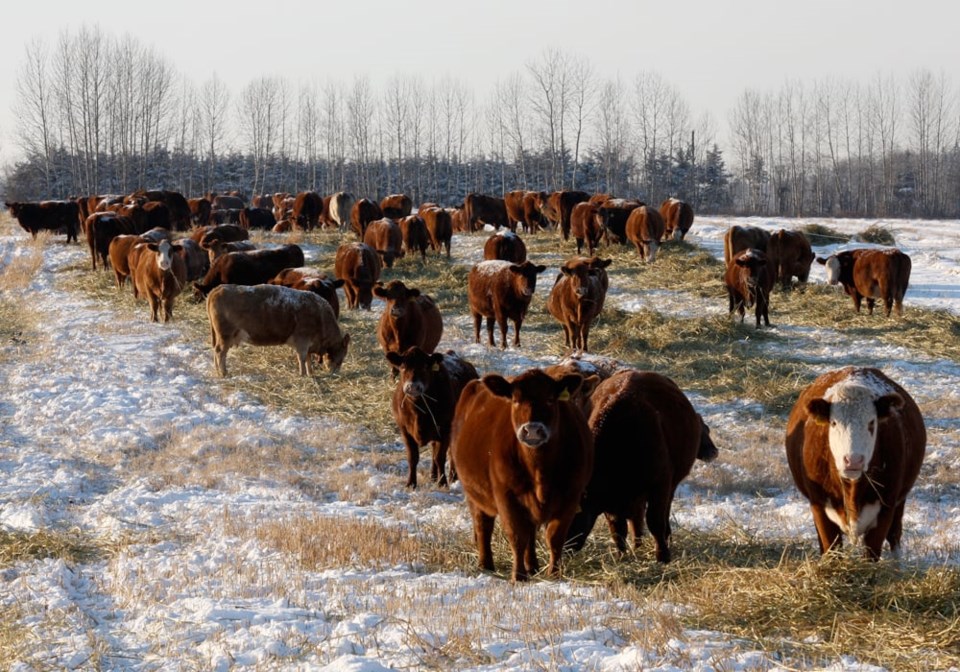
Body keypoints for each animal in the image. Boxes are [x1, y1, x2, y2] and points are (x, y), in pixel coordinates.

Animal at [208, 284, 350, 378]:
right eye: (341, 358)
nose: (335, 373)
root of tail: (218, 289)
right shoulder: (302, 340)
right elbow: (302, 358)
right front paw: (303, 374)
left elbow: (308, 359)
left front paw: (310, 373)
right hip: (225, 335)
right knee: (220, 352)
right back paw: (223, 372)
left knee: (216, 350)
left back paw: (218, 371)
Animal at [386, 346, 480, 488]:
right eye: (403, 366)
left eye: (425, 367)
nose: (412, 386)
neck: (418, 412)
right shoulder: (405, 430)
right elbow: (413, 457)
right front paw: (411, 483)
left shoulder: (445, 430)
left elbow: (440, 457)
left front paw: (443, 483)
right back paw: (433, 476)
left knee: (451, 453)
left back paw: (452, 477)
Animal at [450, 370, 592, 580]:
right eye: (516, 400)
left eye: (550, 399)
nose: (532, 429)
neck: (539, 470)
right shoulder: (506, 495)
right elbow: (517, 536)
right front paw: (518, 575)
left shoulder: (571, 496)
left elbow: (555, 537)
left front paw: (554, 573)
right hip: (473, 494)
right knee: (483, 526)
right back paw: (486, 565)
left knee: (530, 533)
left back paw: (532, 566)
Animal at [568, 370, 716, 560]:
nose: (563, 546)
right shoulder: (612, 502)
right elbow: (618, 528)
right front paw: (622, 555)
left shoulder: (660, 486)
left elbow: (655, 522)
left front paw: (662, 556)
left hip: (669, 487)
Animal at [784, 364, 928, 560]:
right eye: (834, 423)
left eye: (872, 423)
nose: (853, 460)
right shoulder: (818, 505)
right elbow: (831, 549)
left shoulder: (886, 508)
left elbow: (872, 552)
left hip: (900, 501)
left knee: (895, 534)